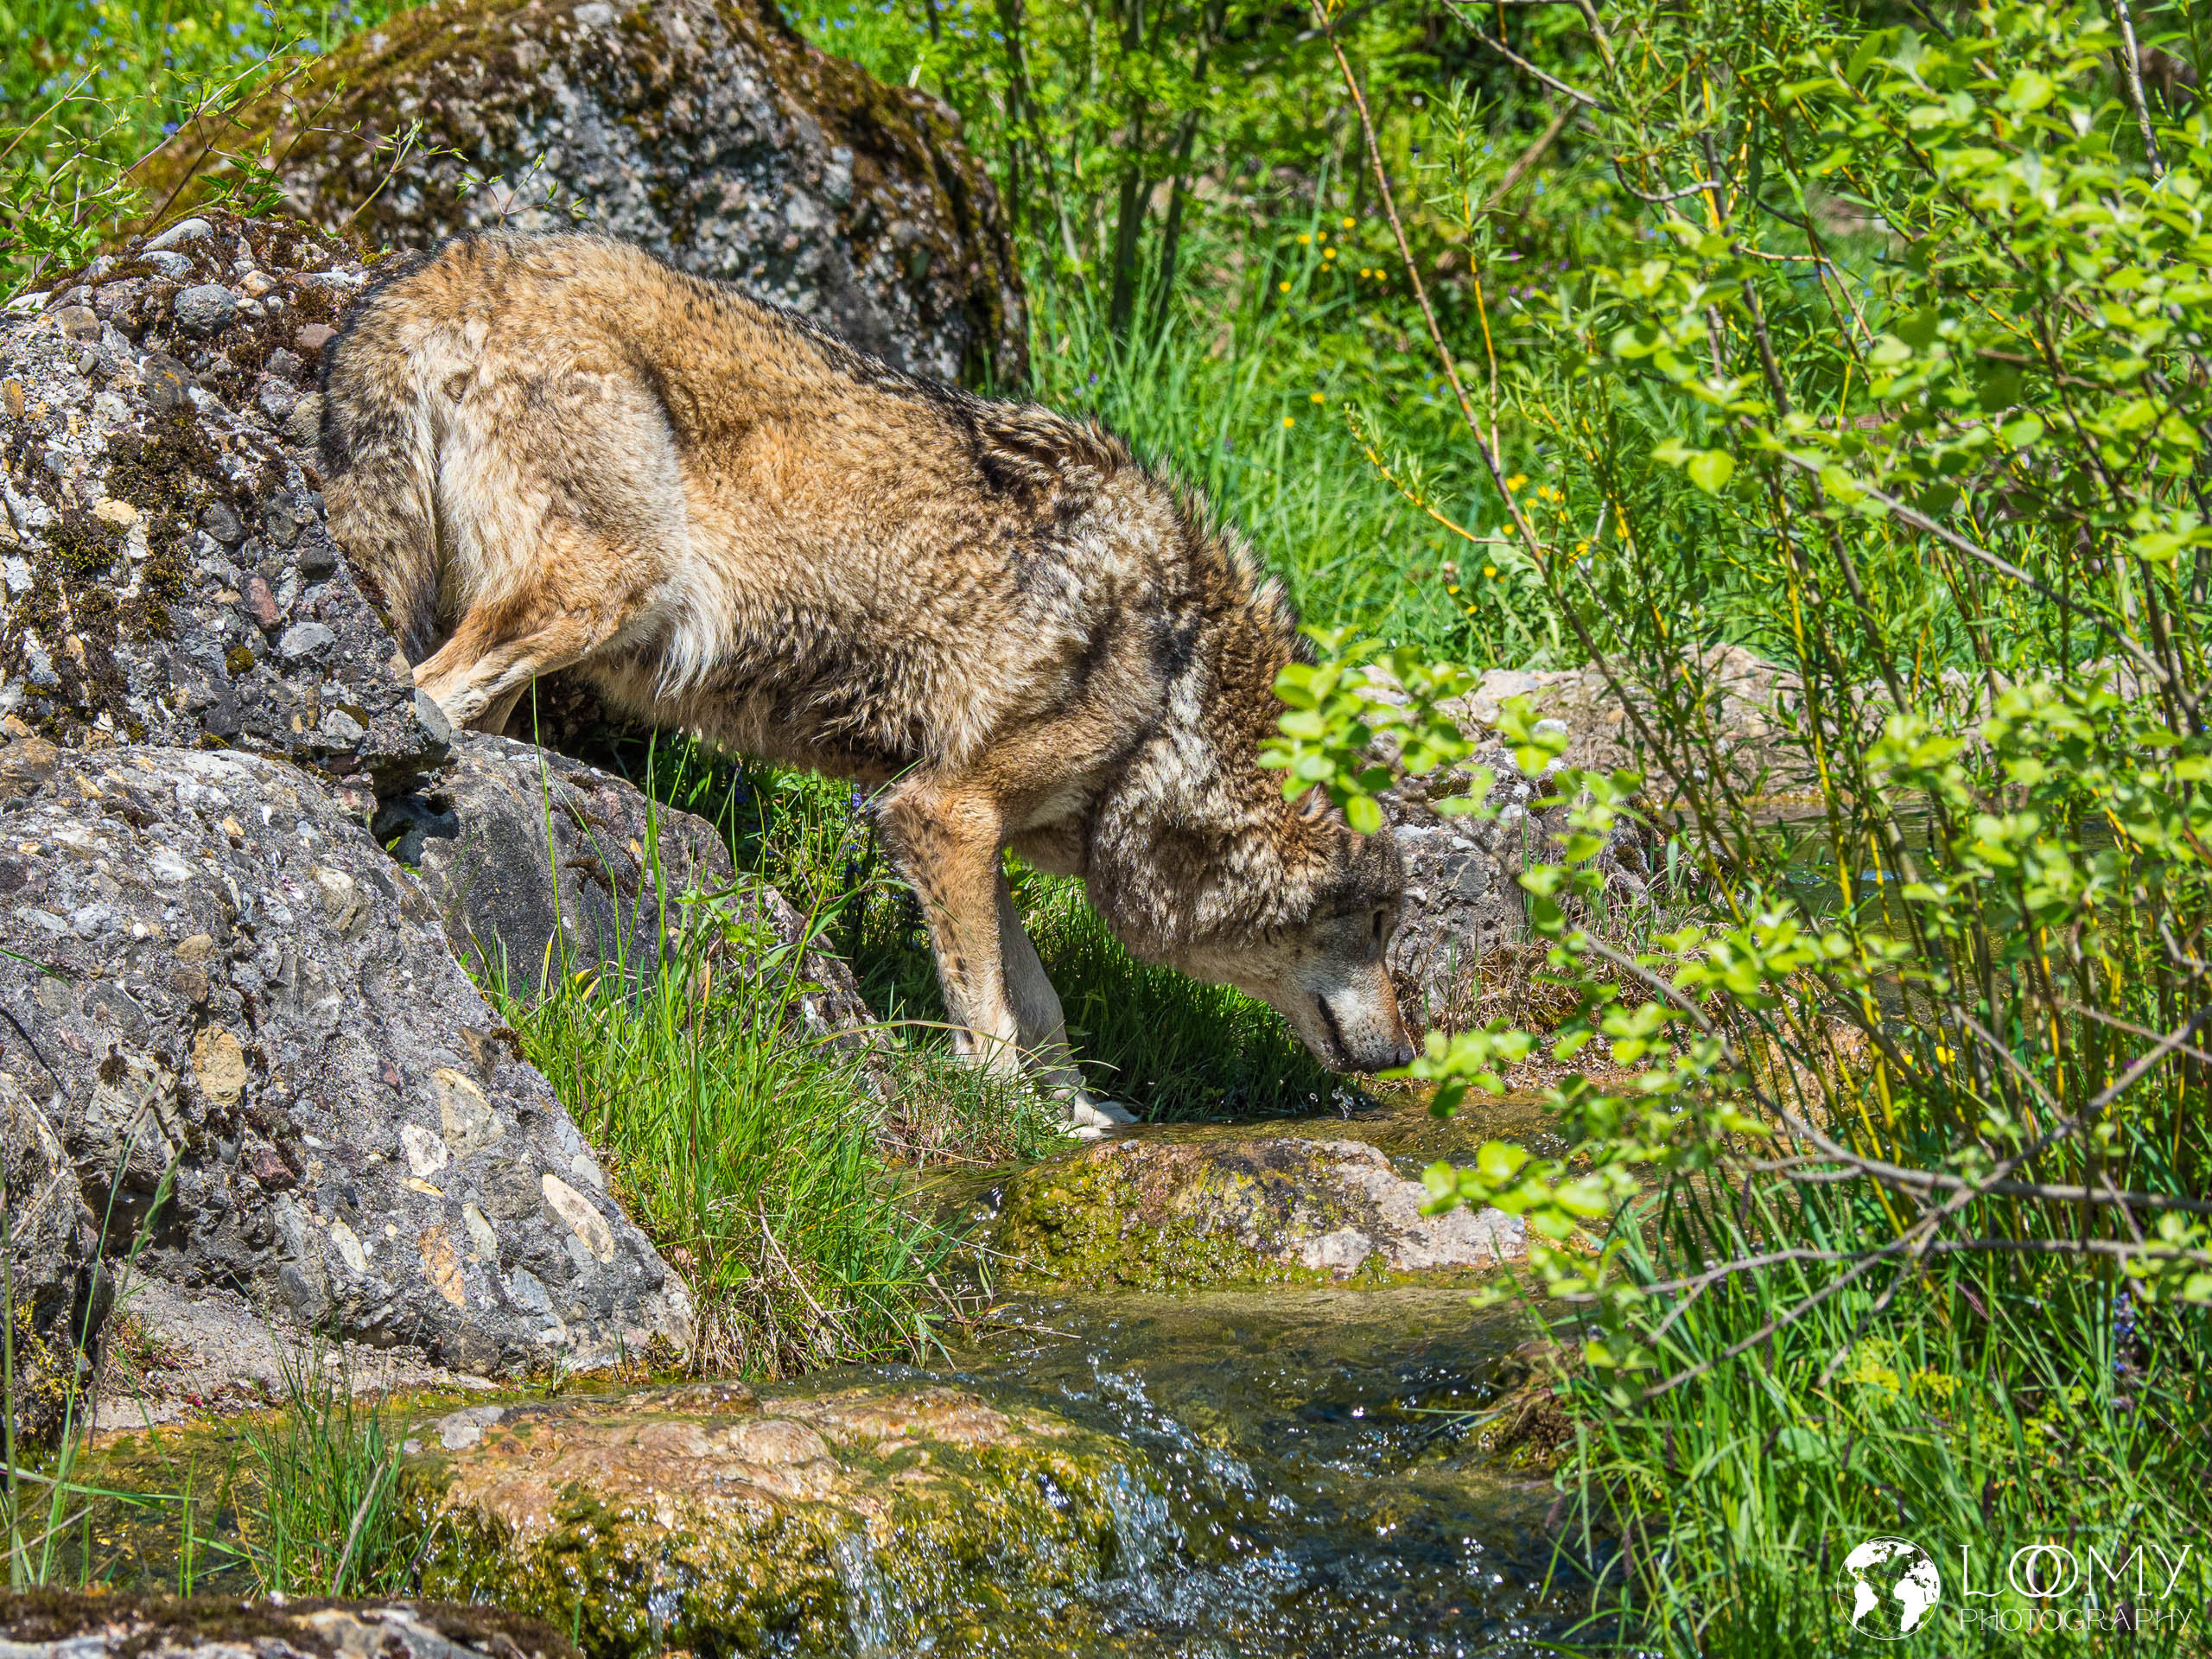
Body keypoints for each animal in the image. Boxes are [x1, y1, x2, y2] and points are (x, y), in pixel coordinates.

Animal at [319, 232, 1414, 1129]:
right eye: (1374, 924)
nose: (1405, 1054)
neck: (1173, 689)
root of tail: (465, 261)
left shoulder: (954, 823)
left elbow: (1038, 998)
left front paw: (1077, 1114)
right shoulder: (942, 813)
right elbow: (989, 1008)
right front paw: (1006, 1109)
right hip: (609, 590)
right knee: (428, 697)